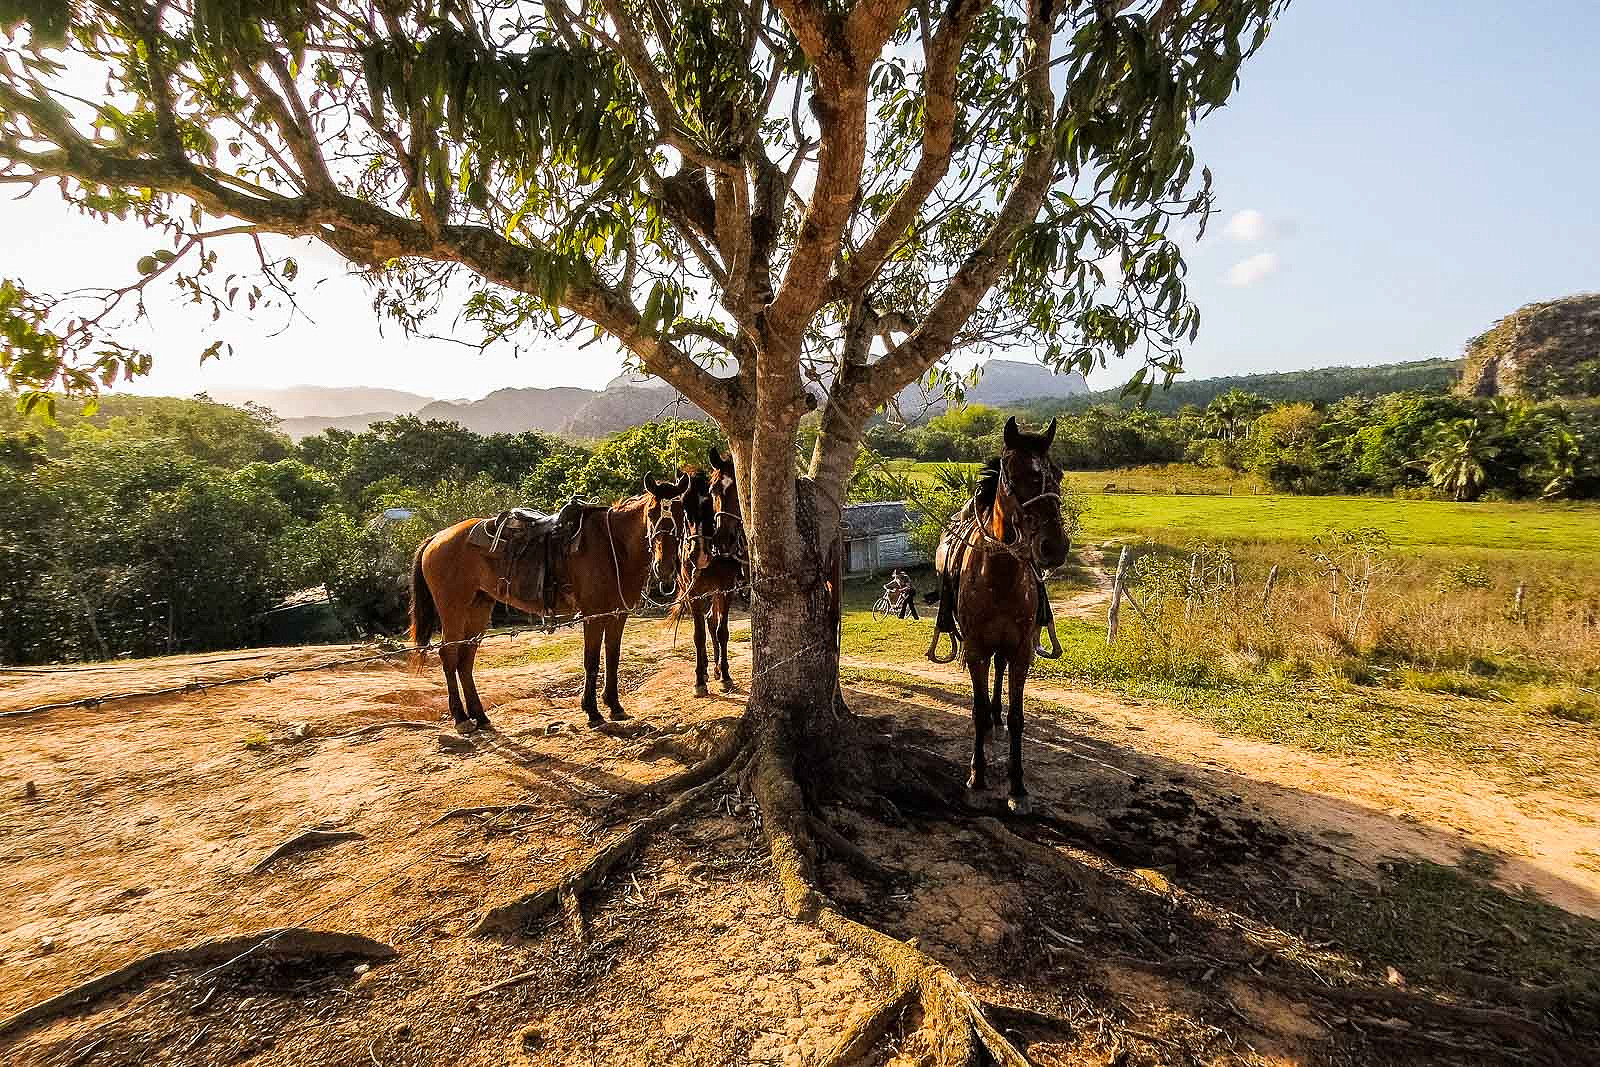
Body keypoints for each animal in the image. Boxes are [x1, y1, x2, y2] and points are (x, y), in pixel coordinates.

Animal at [409, 476, 691, 735]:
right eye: (652, 513)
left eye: (680, 513)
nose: (664, 567)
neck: (614, 546)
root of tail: (436, 537)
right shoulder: (593, 614)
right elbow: (591, 661)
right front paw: (592, 711)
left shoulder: (617, 614)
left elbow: (613, 656)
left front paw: (615, 706)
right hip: (454, 609)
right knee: (449, 655)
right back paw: (461, 718)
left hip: (478, 607)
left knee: (465, 659)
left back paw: (480, 717)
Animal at [675, 447, 748, 697]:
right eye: (714, 490)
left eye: (738, 489)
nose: (722, 539)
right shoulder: (694, 593)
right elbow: (698, 636)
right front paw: (699, 680)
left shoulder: (725, 588)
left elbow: (722, 630)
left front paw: (725, 675)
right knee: (706, 623)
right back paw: (707, 669)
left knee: (712, 622)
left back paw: (716, 668)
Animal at [934, 415, 1068, 809]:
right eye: (1015, 473)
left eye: (1058, 473)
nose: (1054, 547)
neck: (999, 575)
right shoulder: (976, 649)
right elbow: (977, 713)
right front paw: (977, 775)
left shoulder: (1022, 651)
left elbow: (1019, 716)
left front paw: (1017, 784)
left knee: (1001, 670)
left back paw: (999, 717)